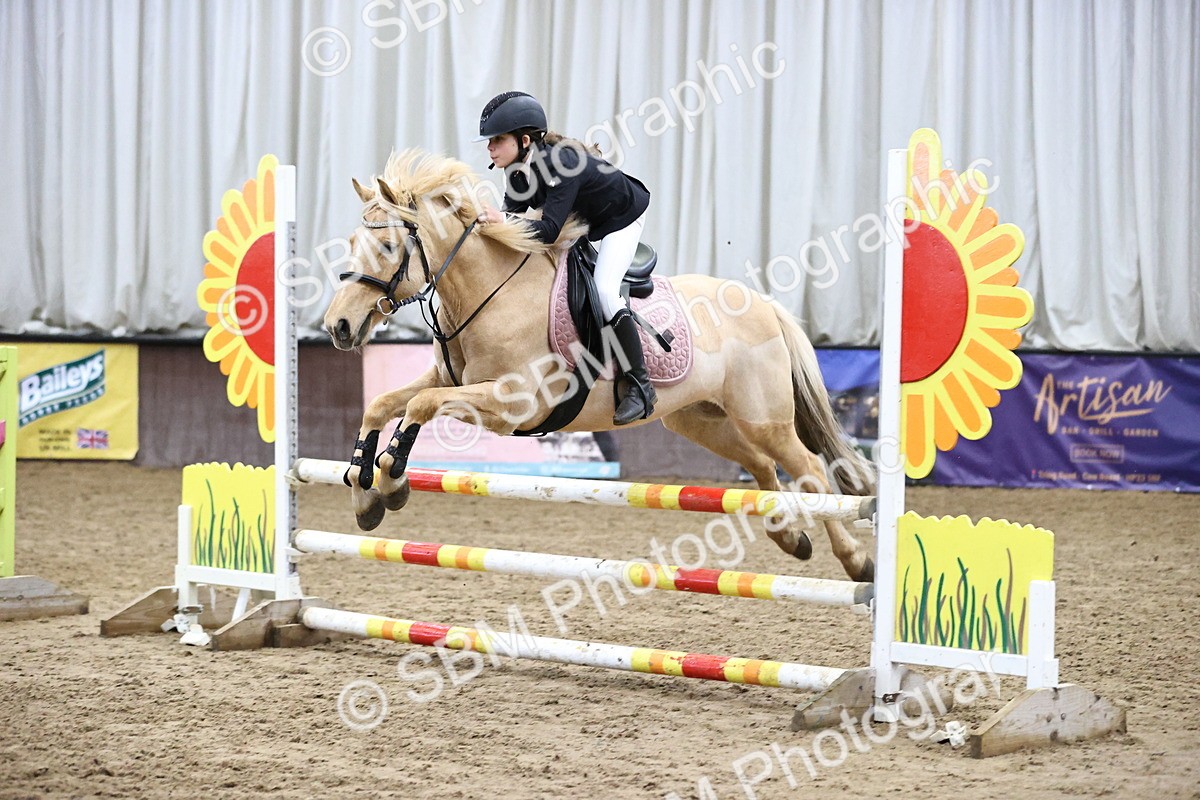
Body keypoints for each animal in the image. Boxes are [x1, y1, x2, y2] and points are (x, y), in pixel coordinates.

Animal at [323, 150, 876, 582]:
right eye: (350, 245)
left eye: (389, 246)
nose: (338, 326)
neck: (490, 292)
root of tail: (763, 302)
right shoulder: (450, 379)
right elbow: (383, 404)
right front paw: (365, 491)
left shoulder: (513, 404)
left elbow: (419, 405)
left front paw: (390, 479)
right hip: (700, 419)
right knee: (762, 466)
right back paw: (791, 539)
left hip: (764, 417)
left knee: (810, 473)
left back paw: (856, 561)